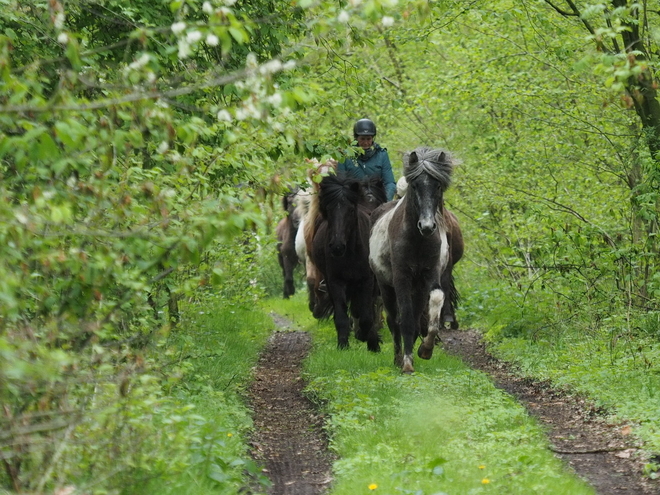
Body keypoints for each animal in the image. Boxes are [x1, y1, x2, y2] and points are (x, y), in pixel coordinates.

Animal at [310, 174, 386, 352]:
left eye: (351, 210)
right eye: (329, 210)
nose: (337, 247)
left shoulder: (366, 281)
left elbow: (366, 316)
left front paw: (371, 342)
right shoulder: (335, 282)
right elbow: (342, 317)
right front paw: (343, 345)